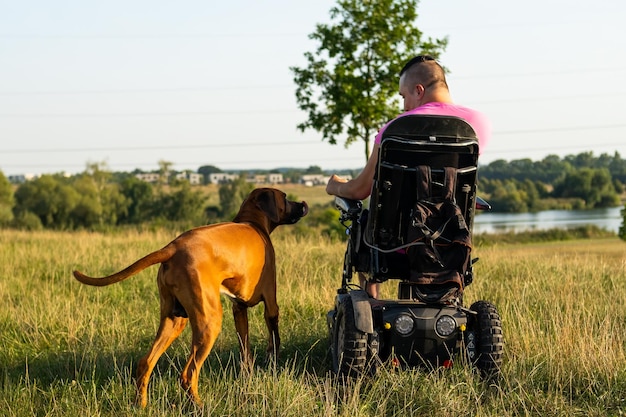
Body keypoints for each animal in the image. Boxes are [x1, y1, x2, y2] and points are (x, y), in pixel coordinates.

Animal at [73, 188, 308, 406]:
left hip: (174, 319)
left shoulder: (239, 310)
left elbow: (245, 350)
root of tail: (172, 247)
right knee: (187, 374)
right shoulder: (271, 304)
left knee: (145, 362)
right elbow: (274, 338)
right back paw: (198, 406)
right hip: (209, 322)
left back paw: (141, 404)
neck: (253, 223)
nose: (304, 203)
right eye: (285, 197)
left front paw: (248, 377)